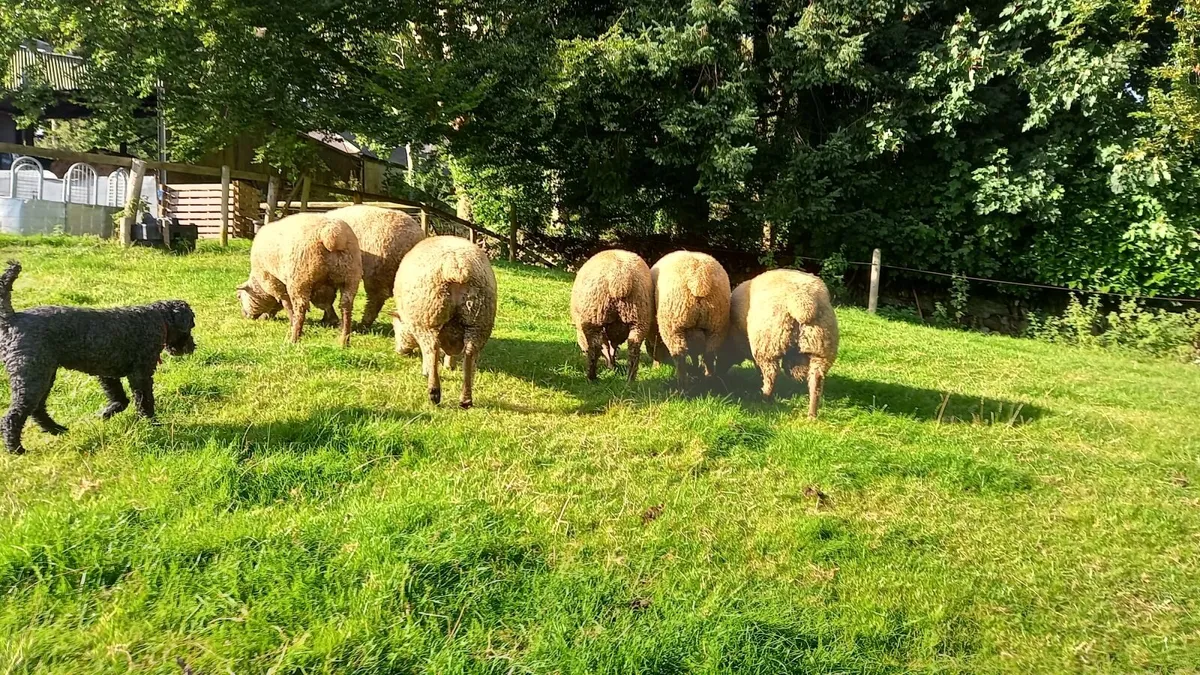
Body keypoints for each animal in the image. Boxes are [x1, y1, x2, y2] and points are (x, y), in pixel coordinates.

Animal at [236, 213, 362, 347]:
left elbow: (286, 304)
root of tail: (332, 233)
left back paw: (294, 338)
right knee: (346, 306)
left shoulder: (274, 282)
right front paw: (331, 320)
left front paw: (290, 321)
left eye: (239, 297)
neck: (260, 284)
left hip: (300, 279)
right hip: (350, 277)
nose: (244, 315)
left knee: (300, 307)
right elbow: (326, 304)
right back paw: (344, 341)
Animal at [390, 235, 496, 409]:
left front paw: (427, 370)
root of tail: (456, 266)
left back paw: (434, 392)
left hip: (428, 318)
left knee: (432, 349)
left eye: (396, 328)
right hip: (479, 320)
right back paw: (466, 399)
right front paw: (450, 365)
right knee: (469, 353)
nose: (399, 351)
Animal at [570, 249, 653, 382]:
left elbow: (606, 346)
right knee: (633, 349)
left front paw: (610, 365)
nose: (583, 351)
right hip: (639, 319)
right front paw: (613, 365)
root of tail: (619, 278)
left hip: (594, 318)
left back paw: (591, 377)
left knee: (595, 348)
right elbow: (613, 347)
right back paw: (630, 379)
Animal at [649, 250, 731, 387]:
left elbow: (657, 347)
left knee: (680, 353)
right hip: (716, 326)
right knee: (709, 353)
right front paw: (696, 367)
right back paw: (709, 379)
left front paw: (656, 366)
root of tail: (698, 278)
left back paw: (682, 383)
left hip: (673, 326)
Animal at [718, 269, 839, 419]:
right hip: (821, 349)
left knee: (772, 374)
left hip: (768, 346)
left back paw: (765, 397)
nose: (717, 375)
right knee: (816, 380)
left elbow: (758, 368)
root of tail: (803, 301)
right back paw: (812, 414)